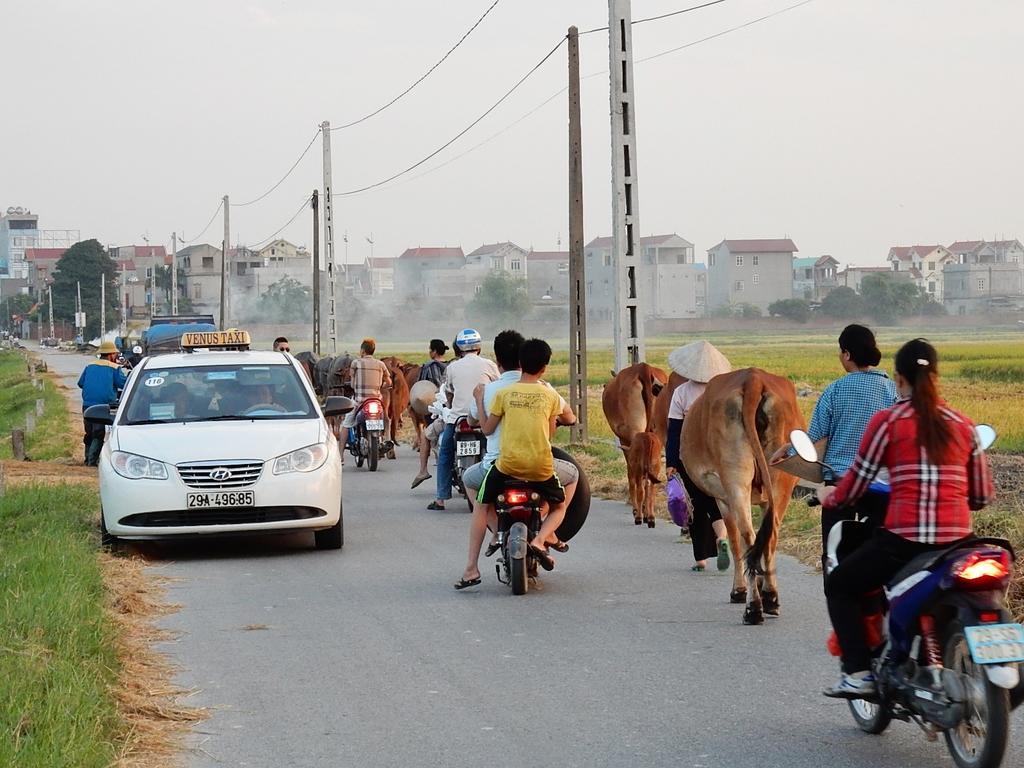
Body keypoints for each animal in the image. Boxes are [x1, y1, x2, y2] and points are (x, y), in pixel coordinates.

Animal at [679, 370, 806, 626]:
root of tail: (753, 377)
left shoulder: (723, 499)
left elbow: (734, 539)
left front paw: (738, 590)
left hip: (735, 478)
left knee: (747, 535)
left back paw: (753, 608)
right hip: (781, 480)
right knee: (770, 535)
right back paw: (770, 599)